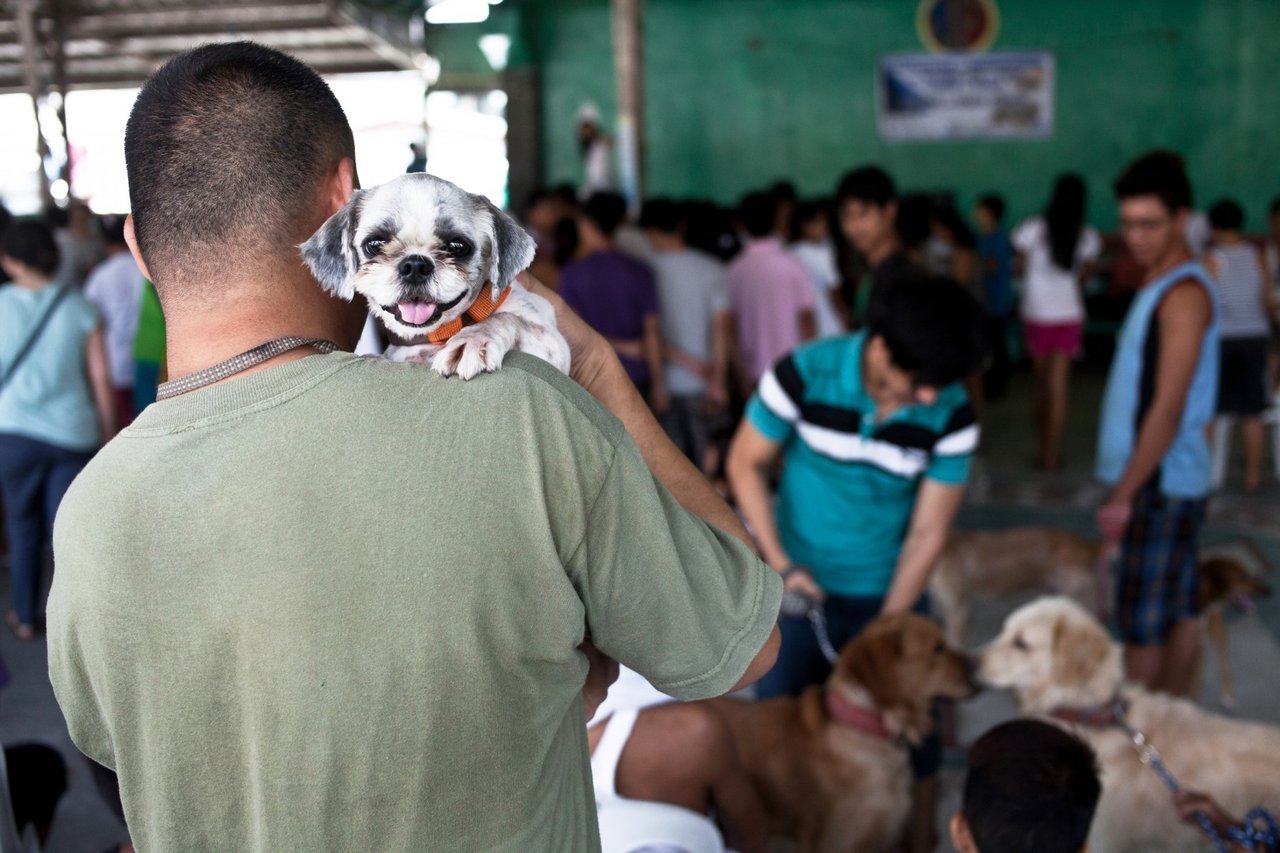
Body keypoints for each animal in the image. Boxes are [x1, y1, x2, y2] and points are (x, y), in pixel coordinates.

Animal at [302, 172, 568, 376]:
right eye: (374, 244)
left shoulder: (553, 343)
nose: (415, 266)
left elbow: (503, 318)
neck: (437, 335)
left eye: (458, 246)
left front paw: (472, 340)